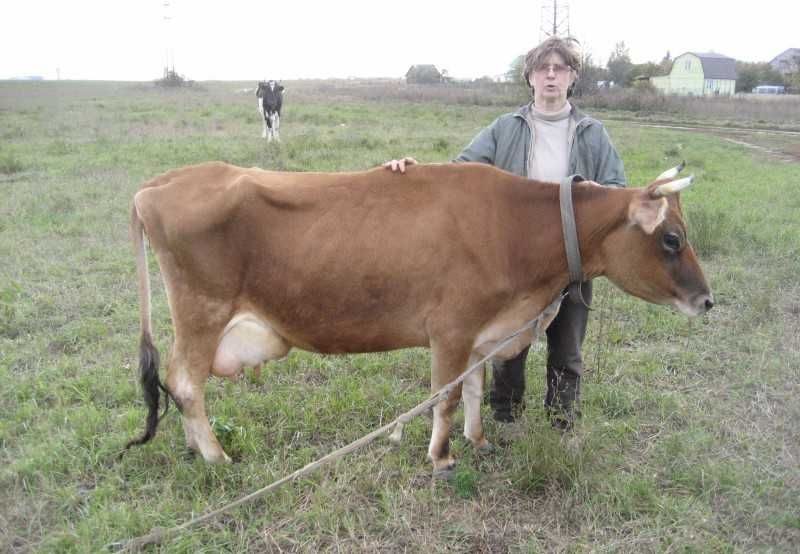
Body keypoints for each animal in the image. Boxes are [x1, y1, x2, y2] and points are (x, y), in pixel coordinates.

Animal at [126, 161, 712, 474]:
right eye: (671, 238)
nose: (708, 301)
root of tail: (161, 183)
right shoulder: (450, 330)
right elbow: (445, 397)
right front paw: (442, 457)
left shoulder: (479, 334)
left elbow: (474, 389)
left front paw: (477, 441)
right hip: (202, 312)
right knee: (186, 382)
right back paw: (215, 456)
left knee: (180, 384)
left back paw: (194, 447)